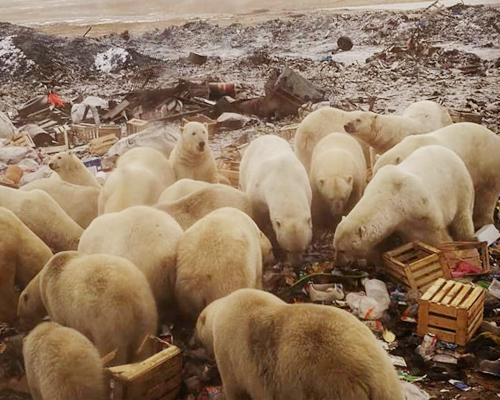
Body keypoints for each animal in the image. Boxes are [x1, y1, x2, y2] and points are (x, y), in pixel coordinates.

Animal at [18, 252, 156, 368]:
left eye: (19, 315)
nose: (21, 329)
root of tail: (130, 296)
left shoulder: (55, 304)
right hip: (146, 313)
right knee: (143, 344)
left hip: (107, 320)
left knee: (112, 350)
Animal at [334, 145, 474, 264]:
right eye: (334, 247)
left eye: (342, 250)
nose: (338, 264)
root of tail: (447, 150)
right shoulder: (401, 222)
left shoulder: (421, 208)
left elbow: (437, 235)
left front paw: (451, 254)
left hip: (460, 186)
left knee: (463, 218)